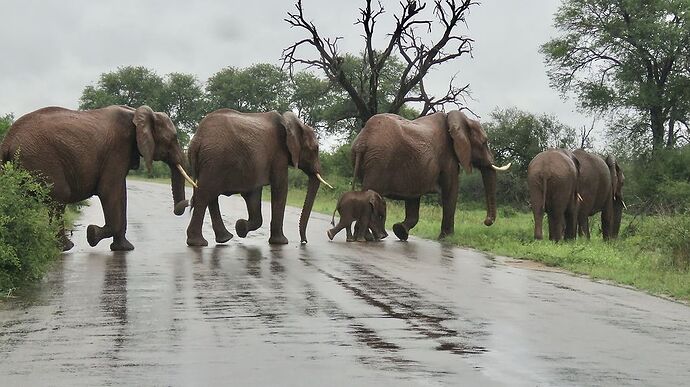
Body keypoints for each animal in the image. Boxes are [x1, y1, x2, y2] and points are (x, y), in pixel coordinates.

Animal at [1, 105, 195, 252]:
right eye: (173, 138)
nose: (186, 204)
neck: (136, 113)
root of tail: (7, 139)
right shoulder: (117, 149)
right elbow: (110, 191)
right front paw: (92, 235)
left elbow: (120, 194)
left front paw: (123, 248)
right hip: (41, 157)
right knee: (59, 196)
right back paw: (66, 247)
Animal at [180, 109, 330, 247]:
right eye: (315, 149)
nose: (304, 241)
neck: (294, 125)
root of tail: (198, 138)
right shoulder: (278, 155)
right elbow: (280, 188)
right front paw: (281, 242)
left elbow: (253, 194)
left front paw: (240, 227)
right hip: (215, 160)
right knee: (205, 194)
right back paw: (198, 242)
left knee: (210, 196)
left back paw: (224, 238)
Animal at [352, 110, 508, 242]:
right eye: (484, 142)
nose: (486, 221)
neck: (458, 120)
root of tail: (363, 141)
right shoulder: (447, 157)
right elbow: (451, 190)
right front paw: (447, 238)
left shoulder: (416, 168)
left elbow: (413, 197)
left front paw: (400, 231)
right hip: (379, 162)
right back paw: (369, 237)